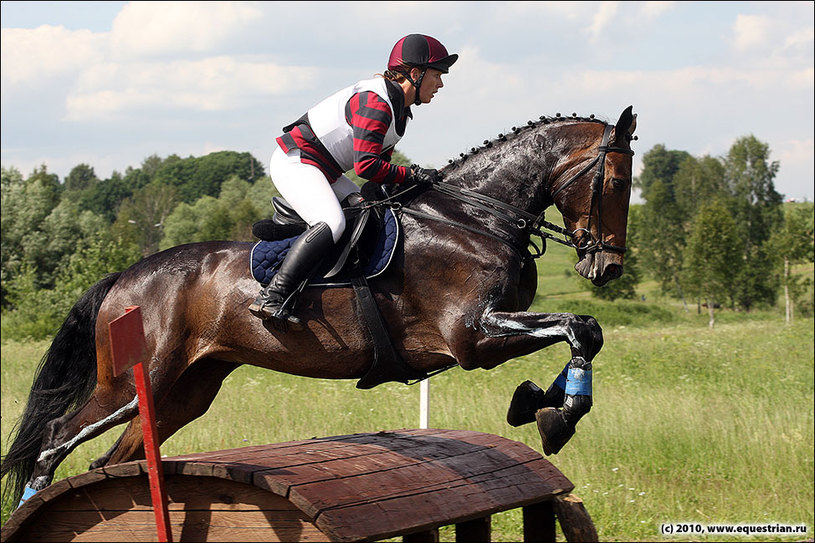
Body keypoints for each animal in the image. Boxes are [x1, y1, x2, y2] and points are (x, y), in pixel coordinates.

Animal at [0, 105, 636, 510]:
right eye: (616, 182)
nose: (606, 268)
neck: (473, 218)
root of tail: (123, 279)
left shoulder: (485, 334)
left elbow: (584, 331)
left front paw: (538, 405)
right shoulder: (471, 337)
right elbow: (578, 328)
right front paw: (556, 414)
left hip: (184, 390)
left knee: (112, 460)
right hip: (137, 382)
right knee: (54, 438)